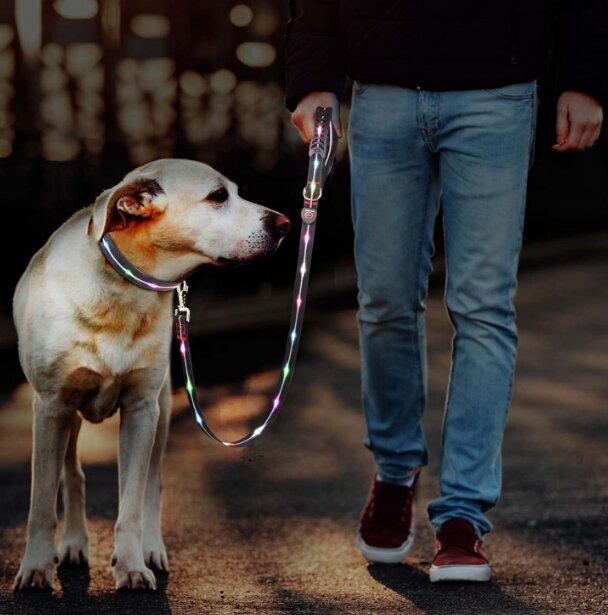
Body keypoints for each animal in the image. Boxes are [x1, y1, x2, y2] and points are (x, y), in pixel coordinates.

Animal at [11, 159, 290, 592]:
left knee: (151, 485)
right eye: (218, 197)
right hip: (69, 417)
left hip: (161, 412)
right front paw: (36, 568)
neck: (124, 289)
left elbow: (132, 503)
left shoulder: (142, 410)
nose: (285, 223)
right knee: (72, 475)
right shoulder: (52, 408)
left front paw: (130, 566)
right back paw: (74, 543)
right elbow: (41, 503)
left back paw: (151, 549)